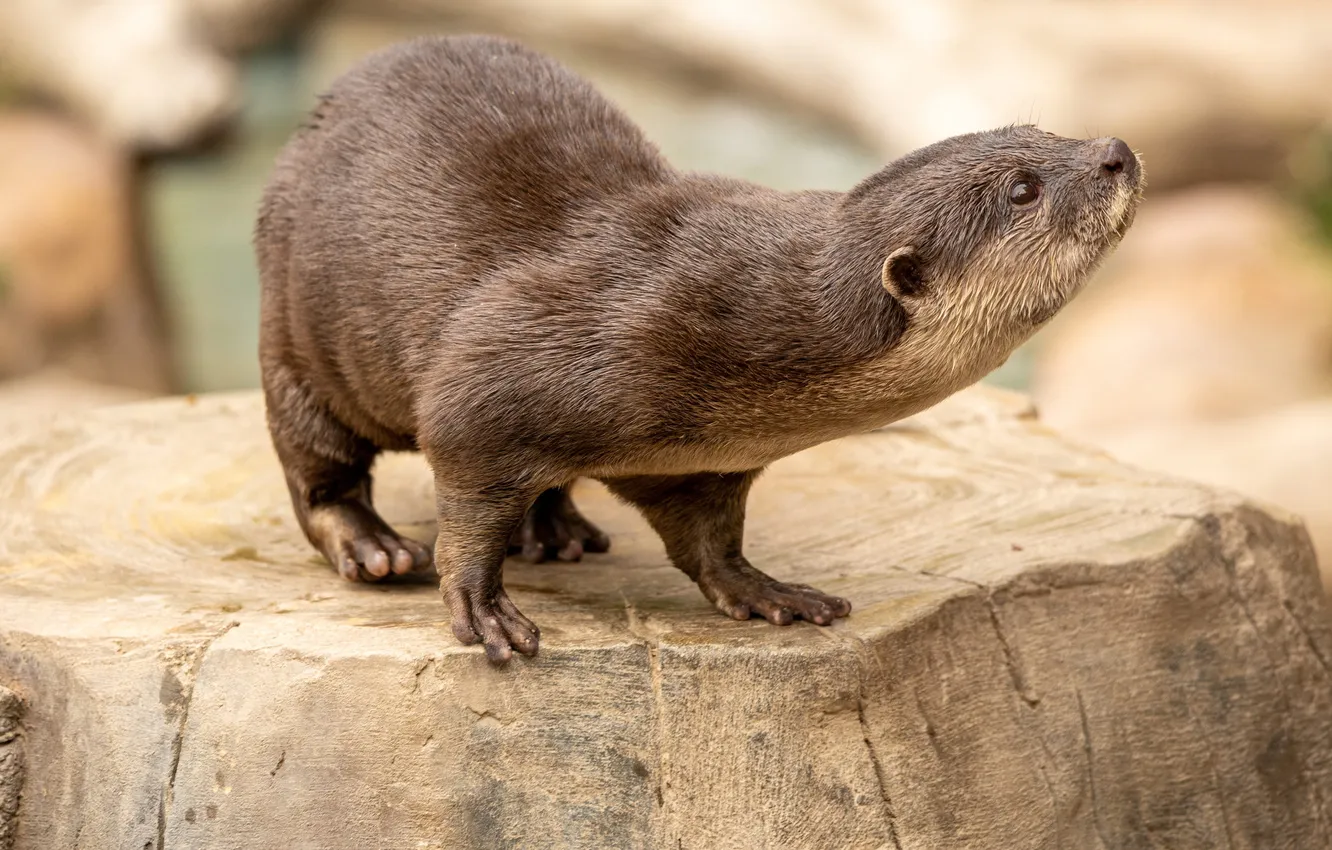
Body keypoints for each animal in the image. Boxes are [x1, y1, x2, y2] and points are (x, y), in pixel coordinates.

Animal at [256, 35, 1143, 663]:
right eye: (1024, 188)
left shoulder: (704, 463)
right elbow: (464, 479)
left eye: (1044, 131)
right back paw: (374, 547)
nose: (1116, 151)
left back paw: (555, 528)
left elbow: (708, 539)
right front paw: (482, 608)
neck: (744, 324)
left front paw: (767, 592)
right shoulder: (499, 375)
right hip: (294, 331)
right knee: (316, 467)